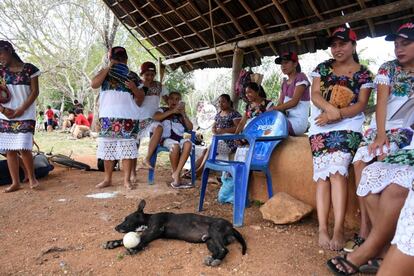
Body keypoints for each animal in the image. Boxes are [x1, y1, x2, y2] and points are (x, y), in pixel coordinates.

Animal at [103, 199, 246, 266]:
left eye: (126, 219)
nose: (116, 227)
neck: (148, 219)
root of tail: (232, 227)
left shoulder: (155, 229)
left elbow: (142, 240)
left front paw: (135, 248)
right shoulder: (152, 232)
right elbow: (125, 240)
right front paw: (112, 243)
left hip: (214, 230)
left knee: (223, 249)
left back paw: (215, 261)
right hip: (209, 240)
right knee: (218, 250)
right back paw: (212, 259)